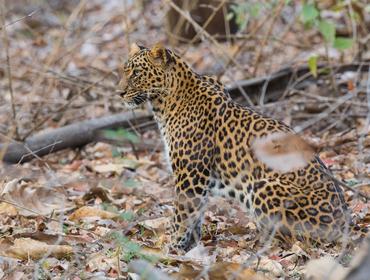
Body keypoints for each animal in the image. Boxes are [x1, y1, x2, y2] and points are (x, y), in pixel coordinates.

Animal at [117, 42, 366, 253]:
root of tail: (345, 224)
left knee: (294, 239)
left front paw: (171, 248)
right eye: (124, 70)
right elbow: (196, 214)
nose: (119, 93)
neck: (165, 102)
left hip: (264, 187)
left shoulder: (190, 174)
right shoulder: (199, 178)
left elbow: (182, 214)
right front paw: (191, 246)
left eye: (136, 73)